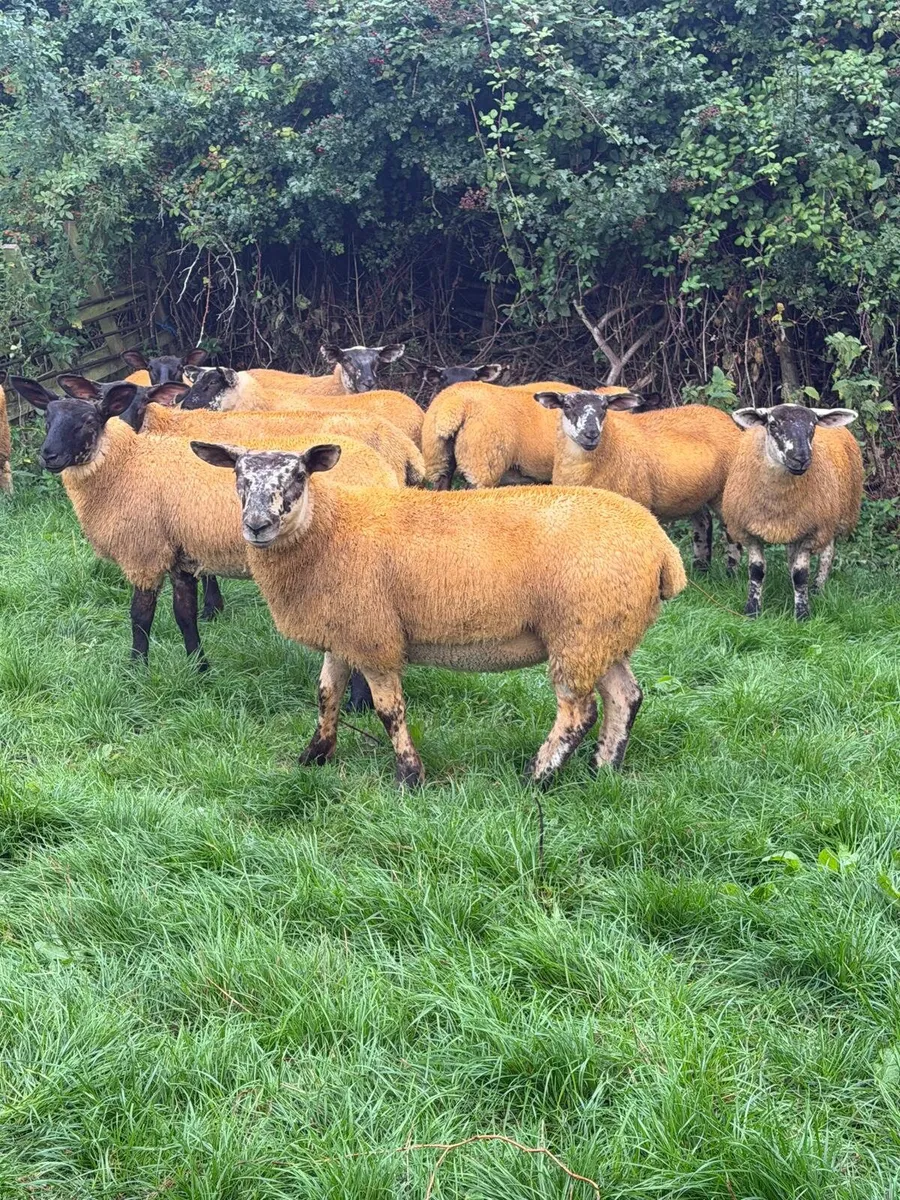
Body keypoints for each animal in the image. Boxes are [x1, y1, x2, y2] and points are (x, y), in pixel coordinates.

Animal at [8, 378, 399, 700]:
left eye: (89, 422)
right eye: (47, 420)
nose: (49, 456)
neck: (127, 466)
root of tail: (385, 469)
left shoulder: (144, 553)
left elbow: (140, 617)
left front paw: (136, 670)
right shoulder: (181, 556)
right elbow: (185, 616)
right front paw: (199, 668)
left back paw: (359, 704)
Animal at [192, 439, 687, 788]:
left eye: (297, 476)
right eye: (238, 477)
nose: (257, 526)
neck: (329, 529)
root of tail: (662, 549)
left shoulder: (374, 636)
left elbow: (388, 710)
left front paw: (409, 777)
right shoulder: (343, 631)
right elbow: (326, 695)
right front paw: (313, 758)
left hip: (580, 630)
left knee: (578, 711)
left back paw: (537, 777)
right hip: (606, 631)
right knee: (625, 697)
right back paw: (603, 769)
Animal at [535, 389, 744, 572]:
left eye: (604, 407)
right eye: (567, 406)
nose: (591, 434)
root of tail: (721, 416)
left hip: (724, 491)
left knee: (731, 530)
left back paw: (731, 572)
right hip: (693, 494)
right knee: (704, 522)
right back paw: (702, 568)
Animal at [722, 404, 863, 620]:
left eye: (813, 426)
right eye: (772, 424)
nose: (801, 459)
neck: (778, 504)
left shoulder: (812, 532)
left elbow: (801, 574)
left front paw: (802, 614)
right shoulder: (748, 532)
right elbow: (756, 571)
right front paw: (752, 610)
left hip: (834, 518)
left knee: (827, 554)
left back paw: (817, 589)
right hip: (797, 525)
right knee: (792, 555)